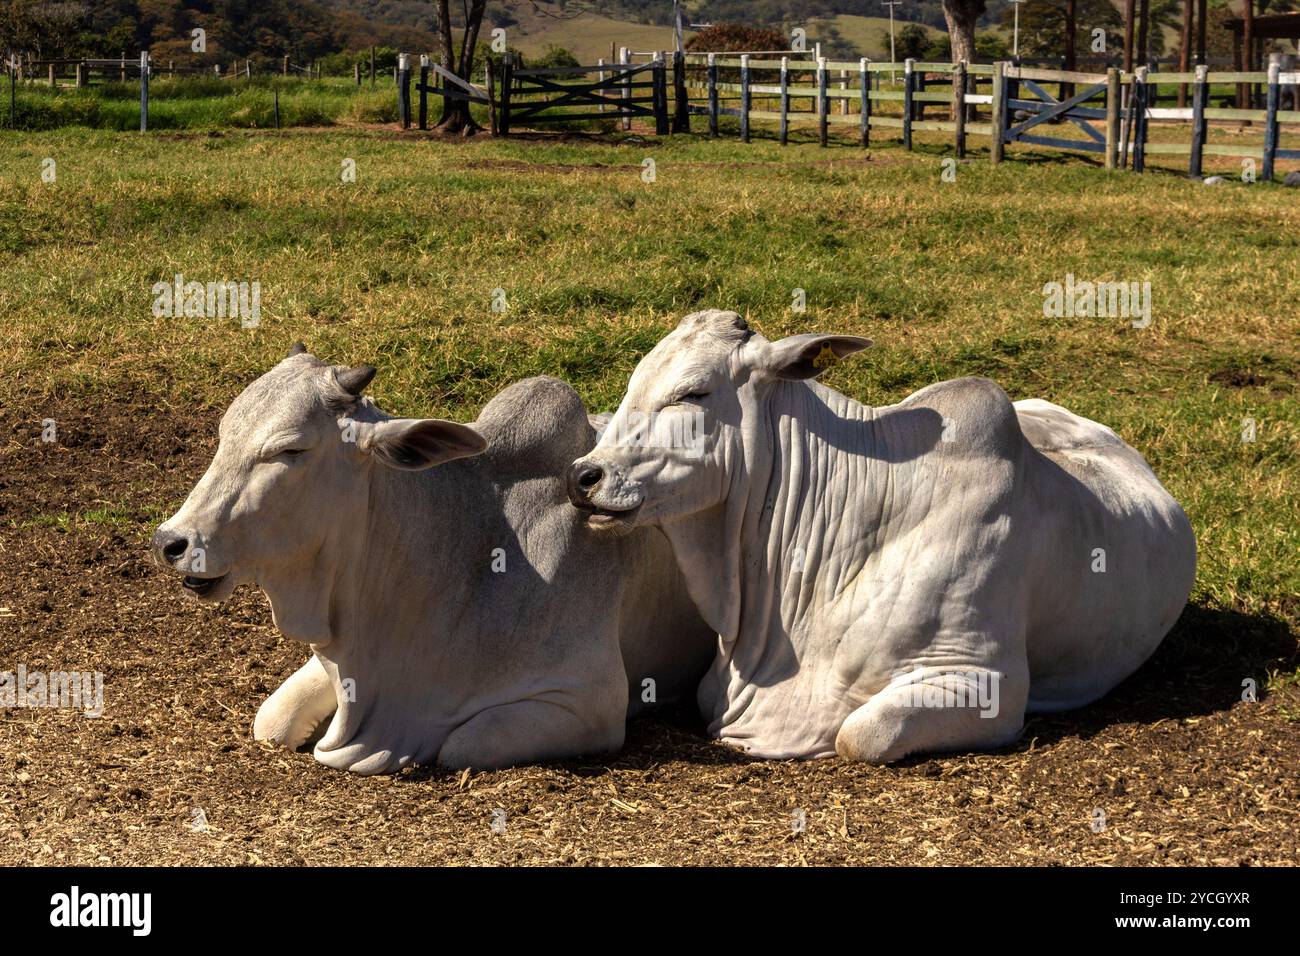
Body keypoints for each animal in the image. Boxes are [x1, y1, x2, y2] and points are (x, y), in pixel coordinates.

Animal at [159, 348, 722, 775]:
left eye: (290, 450)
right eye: (224, 432)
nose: (171, 541)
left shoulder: (588, 701)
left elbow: (460, 745)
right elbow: (271, 721)